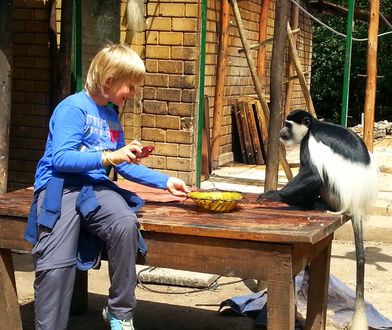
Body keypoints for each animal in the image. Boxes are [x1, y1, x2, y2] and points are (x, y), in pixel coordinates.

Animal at [258, 109, 378, 328]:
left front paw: (274, 195)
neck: (313, 126)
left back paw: (309, 203)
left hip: (335, 196)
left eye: (288, 125)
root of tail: (356, 206)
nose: (281, 133)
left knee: (320, 179)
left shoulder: (310, 144)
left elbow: (313, 175)